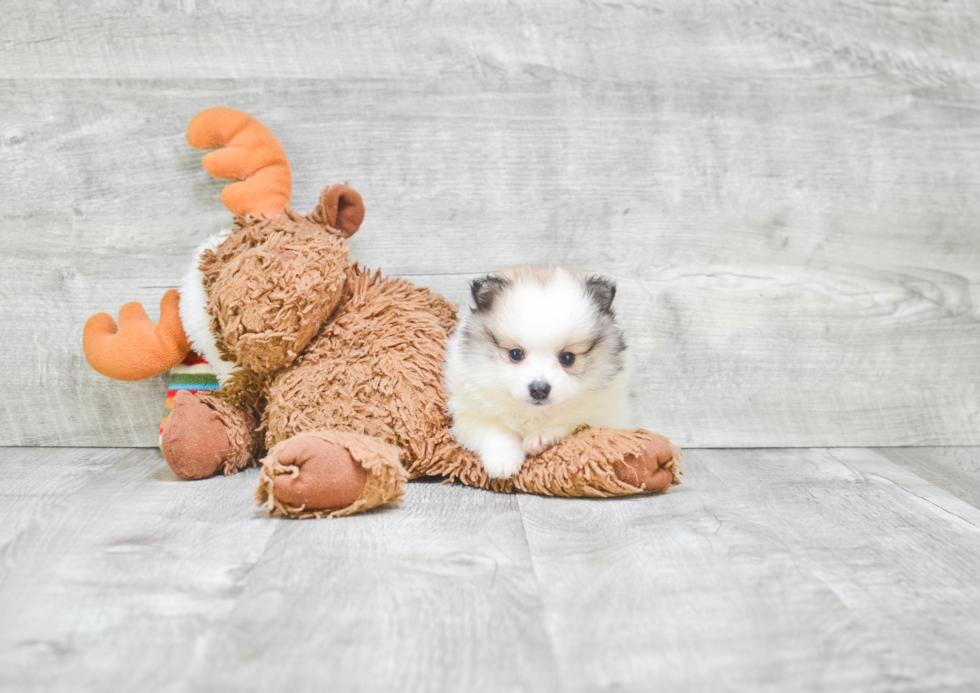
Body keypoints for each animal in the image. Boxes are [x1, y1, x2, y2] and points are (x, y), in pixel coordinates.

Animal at [446, 266, 632, 482]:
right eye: (515, 354)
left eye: (567, 358)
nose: (539, 389)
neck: (533, 413)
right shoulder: (469, 415)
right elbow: (494, 432)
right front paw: (503, 461)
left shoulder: (606, 419)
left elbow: (571, 423)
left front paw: (542, 437)